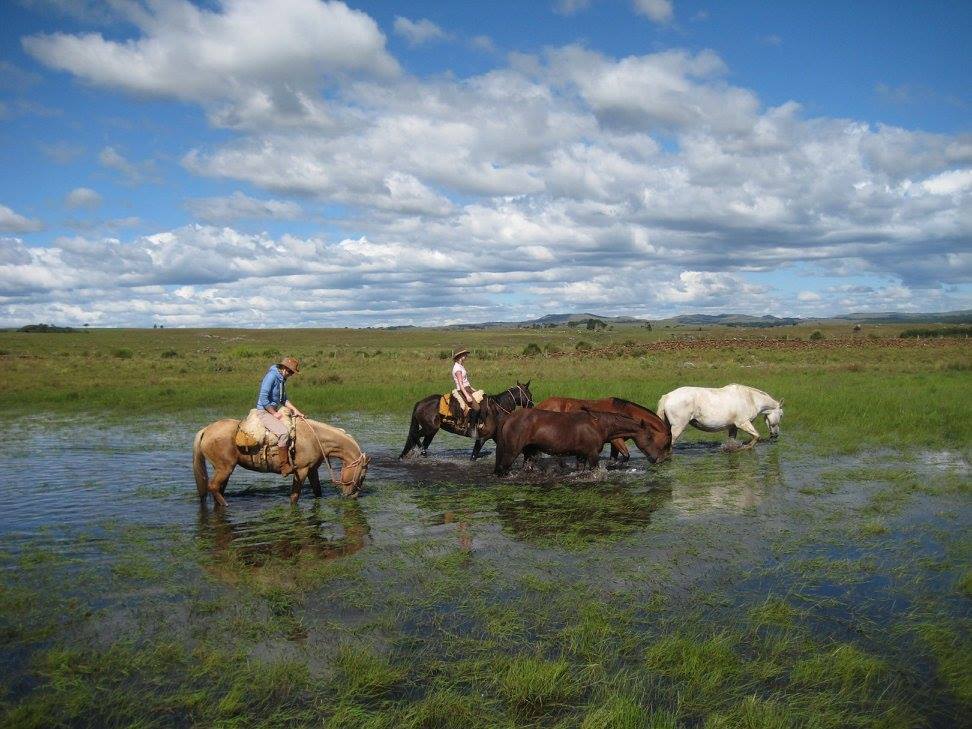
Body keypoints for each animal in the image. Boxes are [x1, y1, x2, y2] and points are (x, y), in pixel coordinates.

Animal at [192, 416, 370, 506]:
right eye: (362, 476)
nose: (352, 496)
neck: (315, 438)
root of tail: (206, 430)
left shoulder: (312, 470)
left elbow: (317, 491)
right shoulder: (301, 471)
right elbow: (294, 497)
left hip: (223, 470)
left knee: (217, 489)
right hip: (225, 468)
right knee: (213, 486)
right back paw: (226, 505)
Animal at [400, 378, 536, 458]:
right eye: (530, 394)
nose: (532, 405)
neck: (496, 409)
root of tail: (420, 403)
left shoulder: (495, 436)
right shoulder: (482, 438)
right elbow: (474, 455)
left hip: (431, 431)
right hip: (430, 429)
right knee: (415, 436)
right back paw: (421, 451)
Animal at [498, 406, 664, 474]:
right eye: (649, 437)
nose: (655, 458)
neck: (598, 424)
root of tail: (509, 417)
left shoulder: (581, 455)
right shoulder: (592, 454)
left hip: (529, 453)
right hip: (511, 452)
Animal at [536, 398, 672, 460]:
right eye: (666, 443)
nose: (661, 460)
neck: (624, 412)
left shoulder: (614, 442)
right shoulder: (616, 440)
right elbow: (626, 455)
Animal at [652, 382, 784, 450]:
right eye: (781, 415)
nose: (776, 434)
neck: (751, 398)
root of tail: (667, 396)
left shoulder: (733, 427)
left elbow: (732, 441)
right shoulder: (743, 423)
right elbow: (756, 436)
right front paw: (746, 447)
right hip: (677, 427)